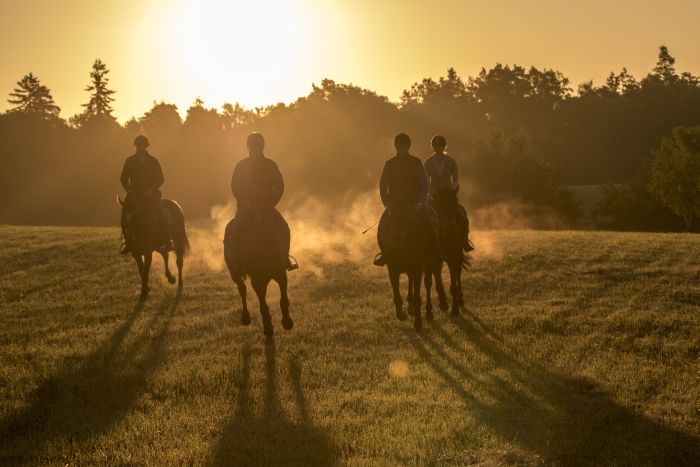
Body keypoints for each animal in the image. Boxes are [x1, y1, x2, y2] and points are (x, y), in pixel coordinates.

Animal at [223, 210, 292, 338]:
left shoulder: (280, 274)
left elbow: (283, 299)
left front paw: (287, 322)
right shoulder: (256, 280)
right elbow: (263, 304)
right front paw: (268, 328)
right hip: (235, 275)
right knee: (242, 289)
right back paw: (245, 317)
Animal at [380, 201, 434, 332]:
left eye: (409, 219)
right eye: (391, 220)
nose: (400, 241)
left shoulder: (418, 267)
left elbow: (418, 294)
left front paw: (418, 323)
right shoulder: (392, 269)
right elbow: (396, 290)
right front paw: (400, 314)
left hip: (428, 263)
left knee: (427, 283)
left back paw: (428, 312)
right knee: (411, 280)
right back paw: (411, 307)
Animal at [426, 188, 470, 316]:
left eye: (453, 204)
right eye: (438, 209)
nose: (446, 230)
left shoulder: (452, 256)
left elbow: (453, 281)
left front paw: (454, 309)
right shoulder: (431, 258)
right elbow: (430, 280)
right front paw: (439, 305)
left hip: (457, 253)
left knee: (458, 273)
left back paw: (460, 300)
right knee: (438, 272)